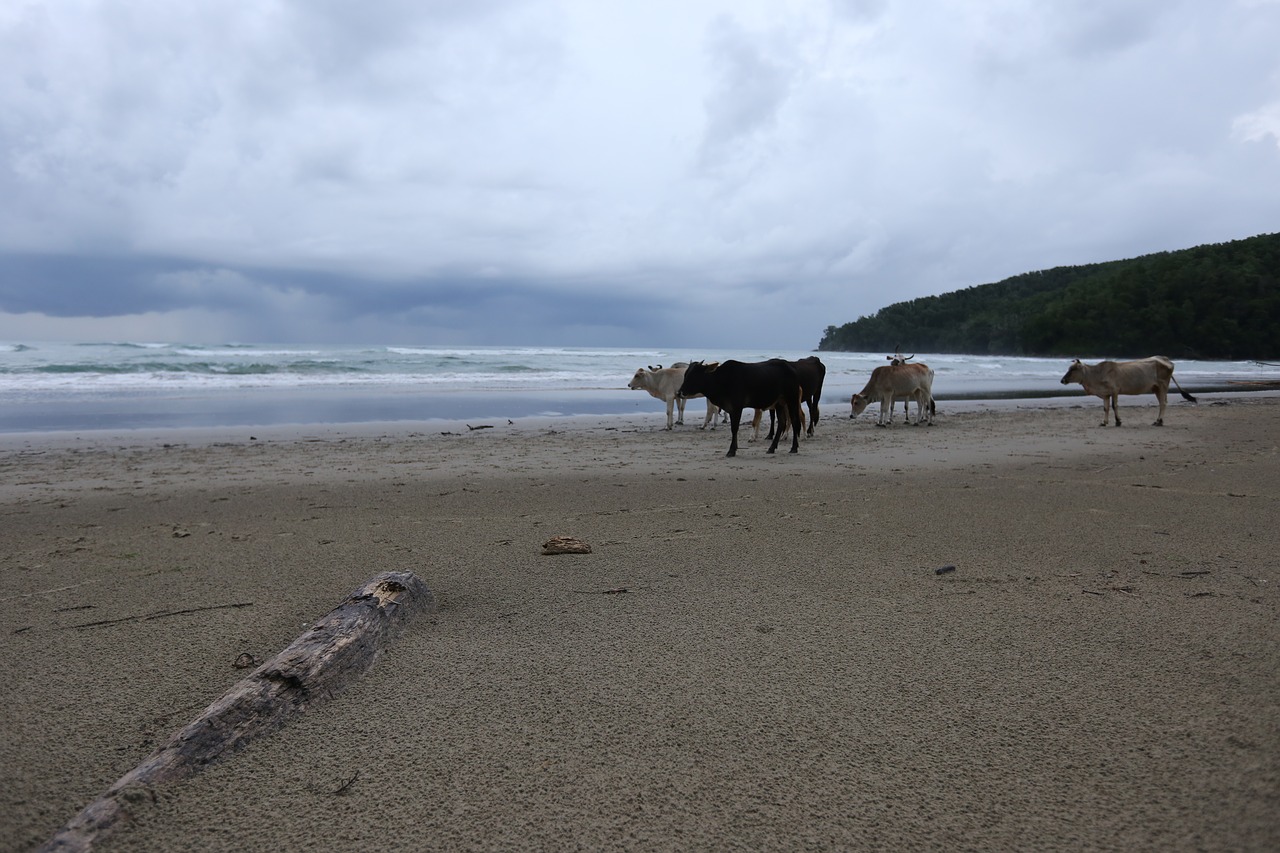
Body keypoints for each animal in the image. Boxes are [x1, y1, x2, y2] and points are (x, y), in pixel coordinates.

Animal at [1054, 356, 1192, 425]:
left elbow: (1114, 406)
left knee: (1163, 403)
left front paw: (1118, 421)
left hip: (1162, 386)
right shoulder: (1105, 394)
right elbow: (1106, 408)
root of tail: (1167, 360)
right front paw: (1104, 422)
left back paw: (1159, 421)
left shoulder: (1115, 391)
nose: (1062, 380)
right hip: (1156, 388)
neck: (1096, 375)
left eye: (1073, 369)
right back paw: (1159, 420)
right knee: (1162, 403)